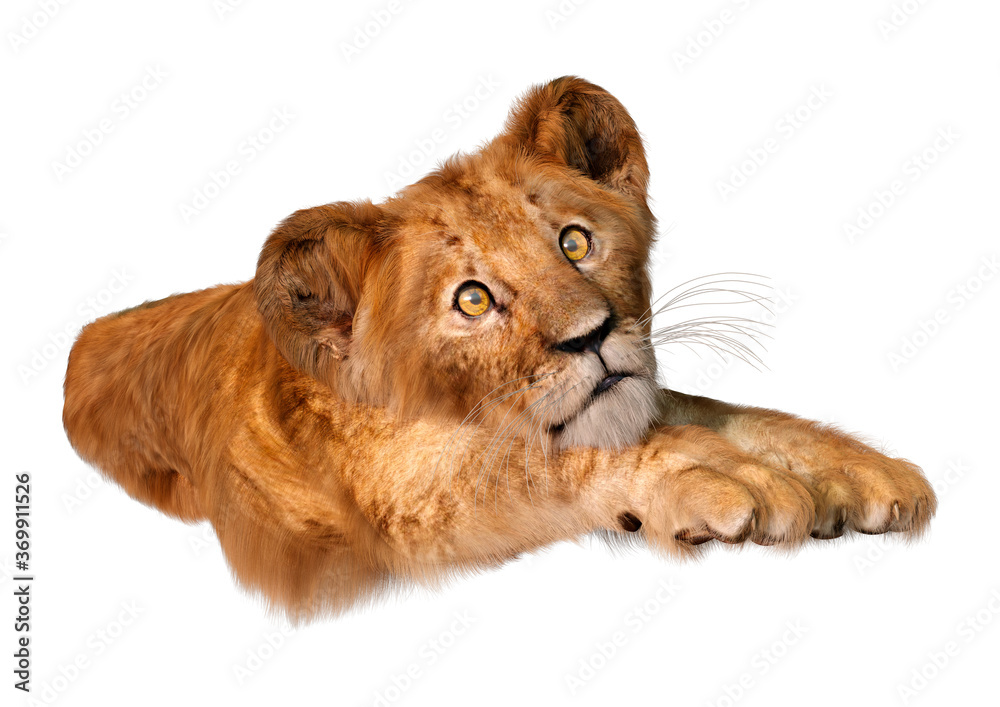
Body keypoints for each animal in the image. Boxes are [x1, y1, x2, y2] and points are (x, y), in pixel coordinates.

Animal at [63, 76, 936, 620]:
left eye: (575, 241)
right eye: (473, 299)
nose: (592, 335)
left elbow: (716, 411)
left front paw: (861, 471)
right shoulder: (387, 517)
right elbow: (537, 460)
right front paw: (726, 480)